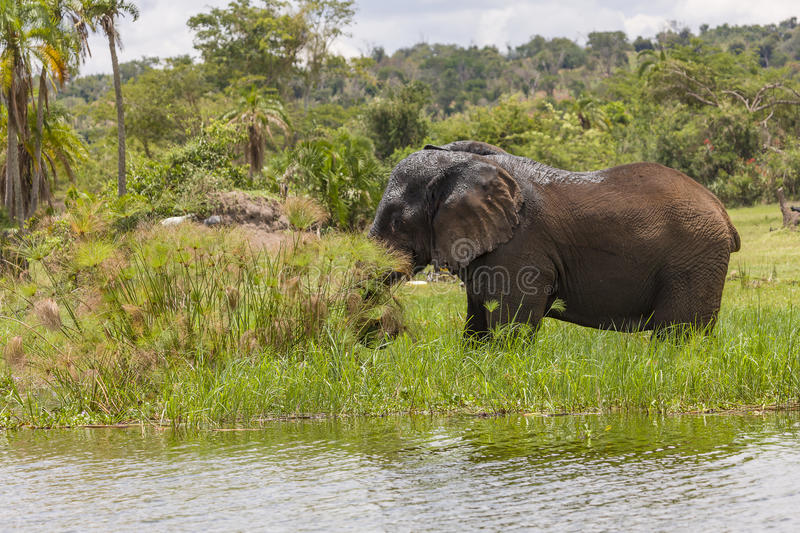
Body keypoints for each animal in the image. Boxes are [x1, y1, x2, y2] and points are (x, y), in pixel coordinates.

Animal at [368, 140, 744, 336]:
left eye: (398, 222)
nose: (383, 335)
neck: (461, 163)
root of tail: (722, 211)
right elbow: (476, 324)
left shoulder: (520, 245)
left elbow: (512, 325)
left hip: (693, 258)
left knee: (677, 334)